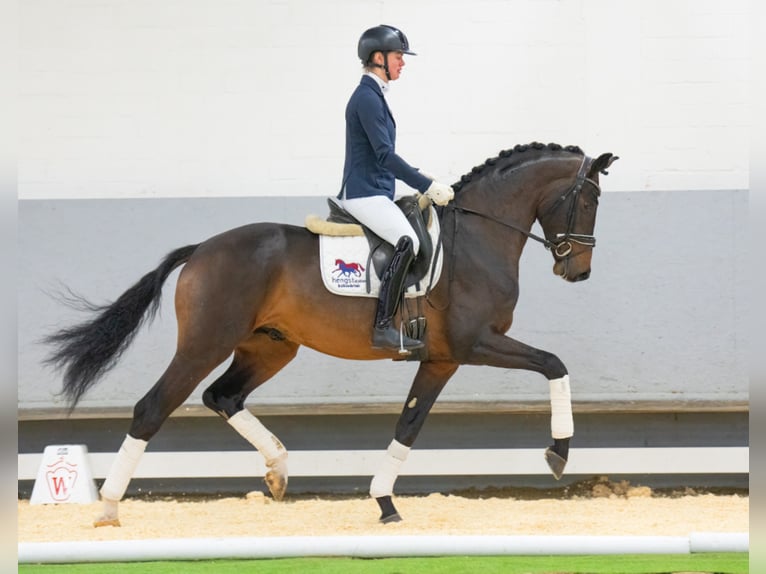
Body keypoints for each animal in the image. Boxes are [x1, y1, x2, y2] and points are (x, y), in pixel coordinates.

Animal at [45, 141, 616, 528]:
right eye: (589, 202)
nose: (579, 271)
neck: (478, 235)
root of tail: (201, 249)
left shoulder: (441, 359)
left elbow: (409, 427)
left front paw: (384, 502)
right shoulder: (474, 343)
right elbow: (554, 363)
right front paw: (559, 453)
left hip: (270, 347)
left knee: (222, 396)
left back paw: (278, 470)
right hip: (204, 344)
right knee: (153, 408)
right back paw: (109, 509)